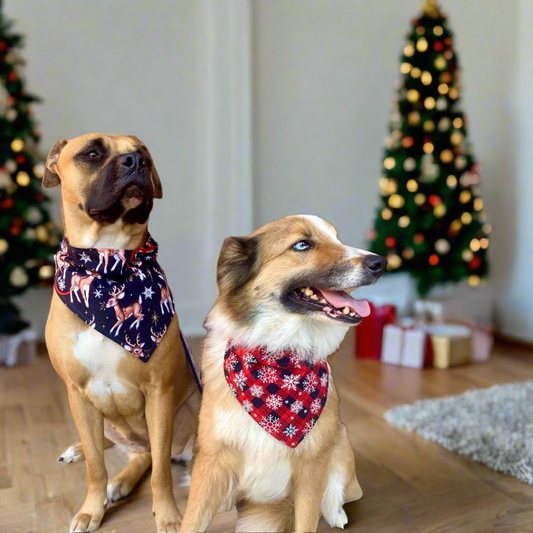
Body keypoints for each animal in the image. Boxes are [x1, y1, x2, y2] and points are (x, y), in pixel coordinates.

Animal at [42, 132, 201, 532]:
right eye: (92, 153)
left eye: (143, 153)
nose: (135, 162)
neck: (109, 263)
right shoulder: (78, 396)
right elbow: (96, 467)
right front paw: (91, 509)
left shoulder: (159, 393)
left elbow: (160, 473)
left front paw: (169, 516)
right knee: (124, 451)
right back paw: (87, 458)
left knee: (153, 456)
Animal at [181, 214, 384, 528]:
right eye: (302, 245)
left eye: (337, 238)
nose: (380, 262)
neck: (279, 356)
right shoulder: (211, 459)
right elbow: (191, 521)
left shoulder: (312, 465)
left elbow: (307, 519)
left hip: (340, 440)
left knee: (344, 490)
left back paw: (335, 510)